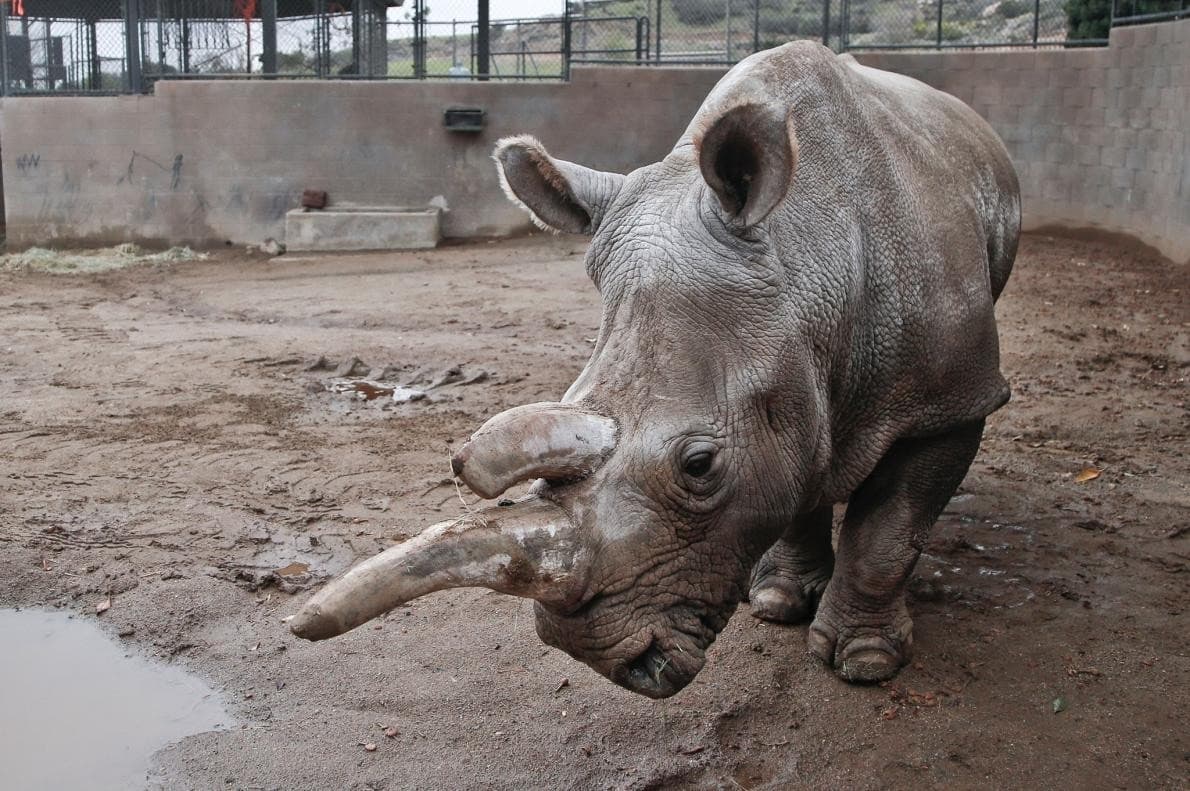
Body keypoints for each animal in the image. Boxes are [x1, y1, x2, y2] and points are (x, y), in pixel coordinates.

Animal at [291, 41, 1019, 698]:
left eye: (698, 465)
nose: (601, 659)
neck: (808, 261)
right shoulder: (792, 367)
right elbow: (798, 470)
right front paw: (778, 602)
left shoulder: (953, 400)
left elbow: (888, 534)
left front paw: (865, 662)